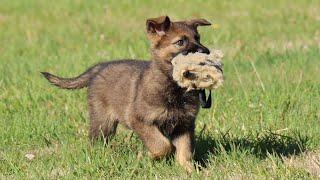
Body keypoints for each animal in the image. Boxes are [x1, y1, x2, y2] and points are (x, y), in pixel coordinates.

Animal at [42, 15, 212, 172]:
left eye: (198, 38)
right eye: (180, 42)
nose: (206, 52)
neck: (175, 88)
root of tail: (100, 67)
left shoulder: (184, 125)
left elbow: (185, 152)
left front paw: (189, 171)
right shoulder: (139, 120)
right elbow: (162, 145)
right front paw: (149, 156)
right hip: (103, 122)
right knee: (95, 141)